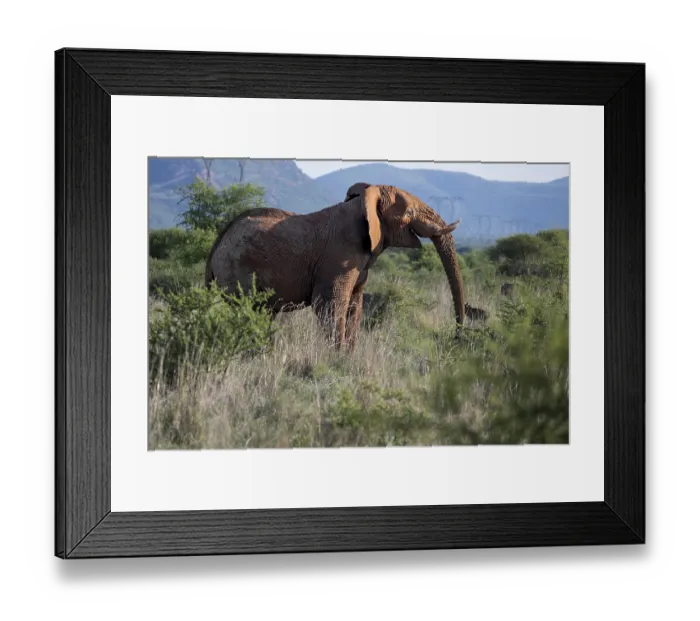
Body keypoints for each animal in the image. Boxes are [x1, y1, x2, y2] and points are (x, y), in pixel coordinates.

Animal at [204, 182, 466, 349]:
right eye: (409, 212)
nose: (456, 337)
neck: (364, 202)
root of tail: (217, 244)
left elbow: (355, 305)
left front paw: (347, 360)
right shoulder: (339, 256)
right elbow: (330, 304)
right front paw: (336, 359)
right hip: (237, 269)